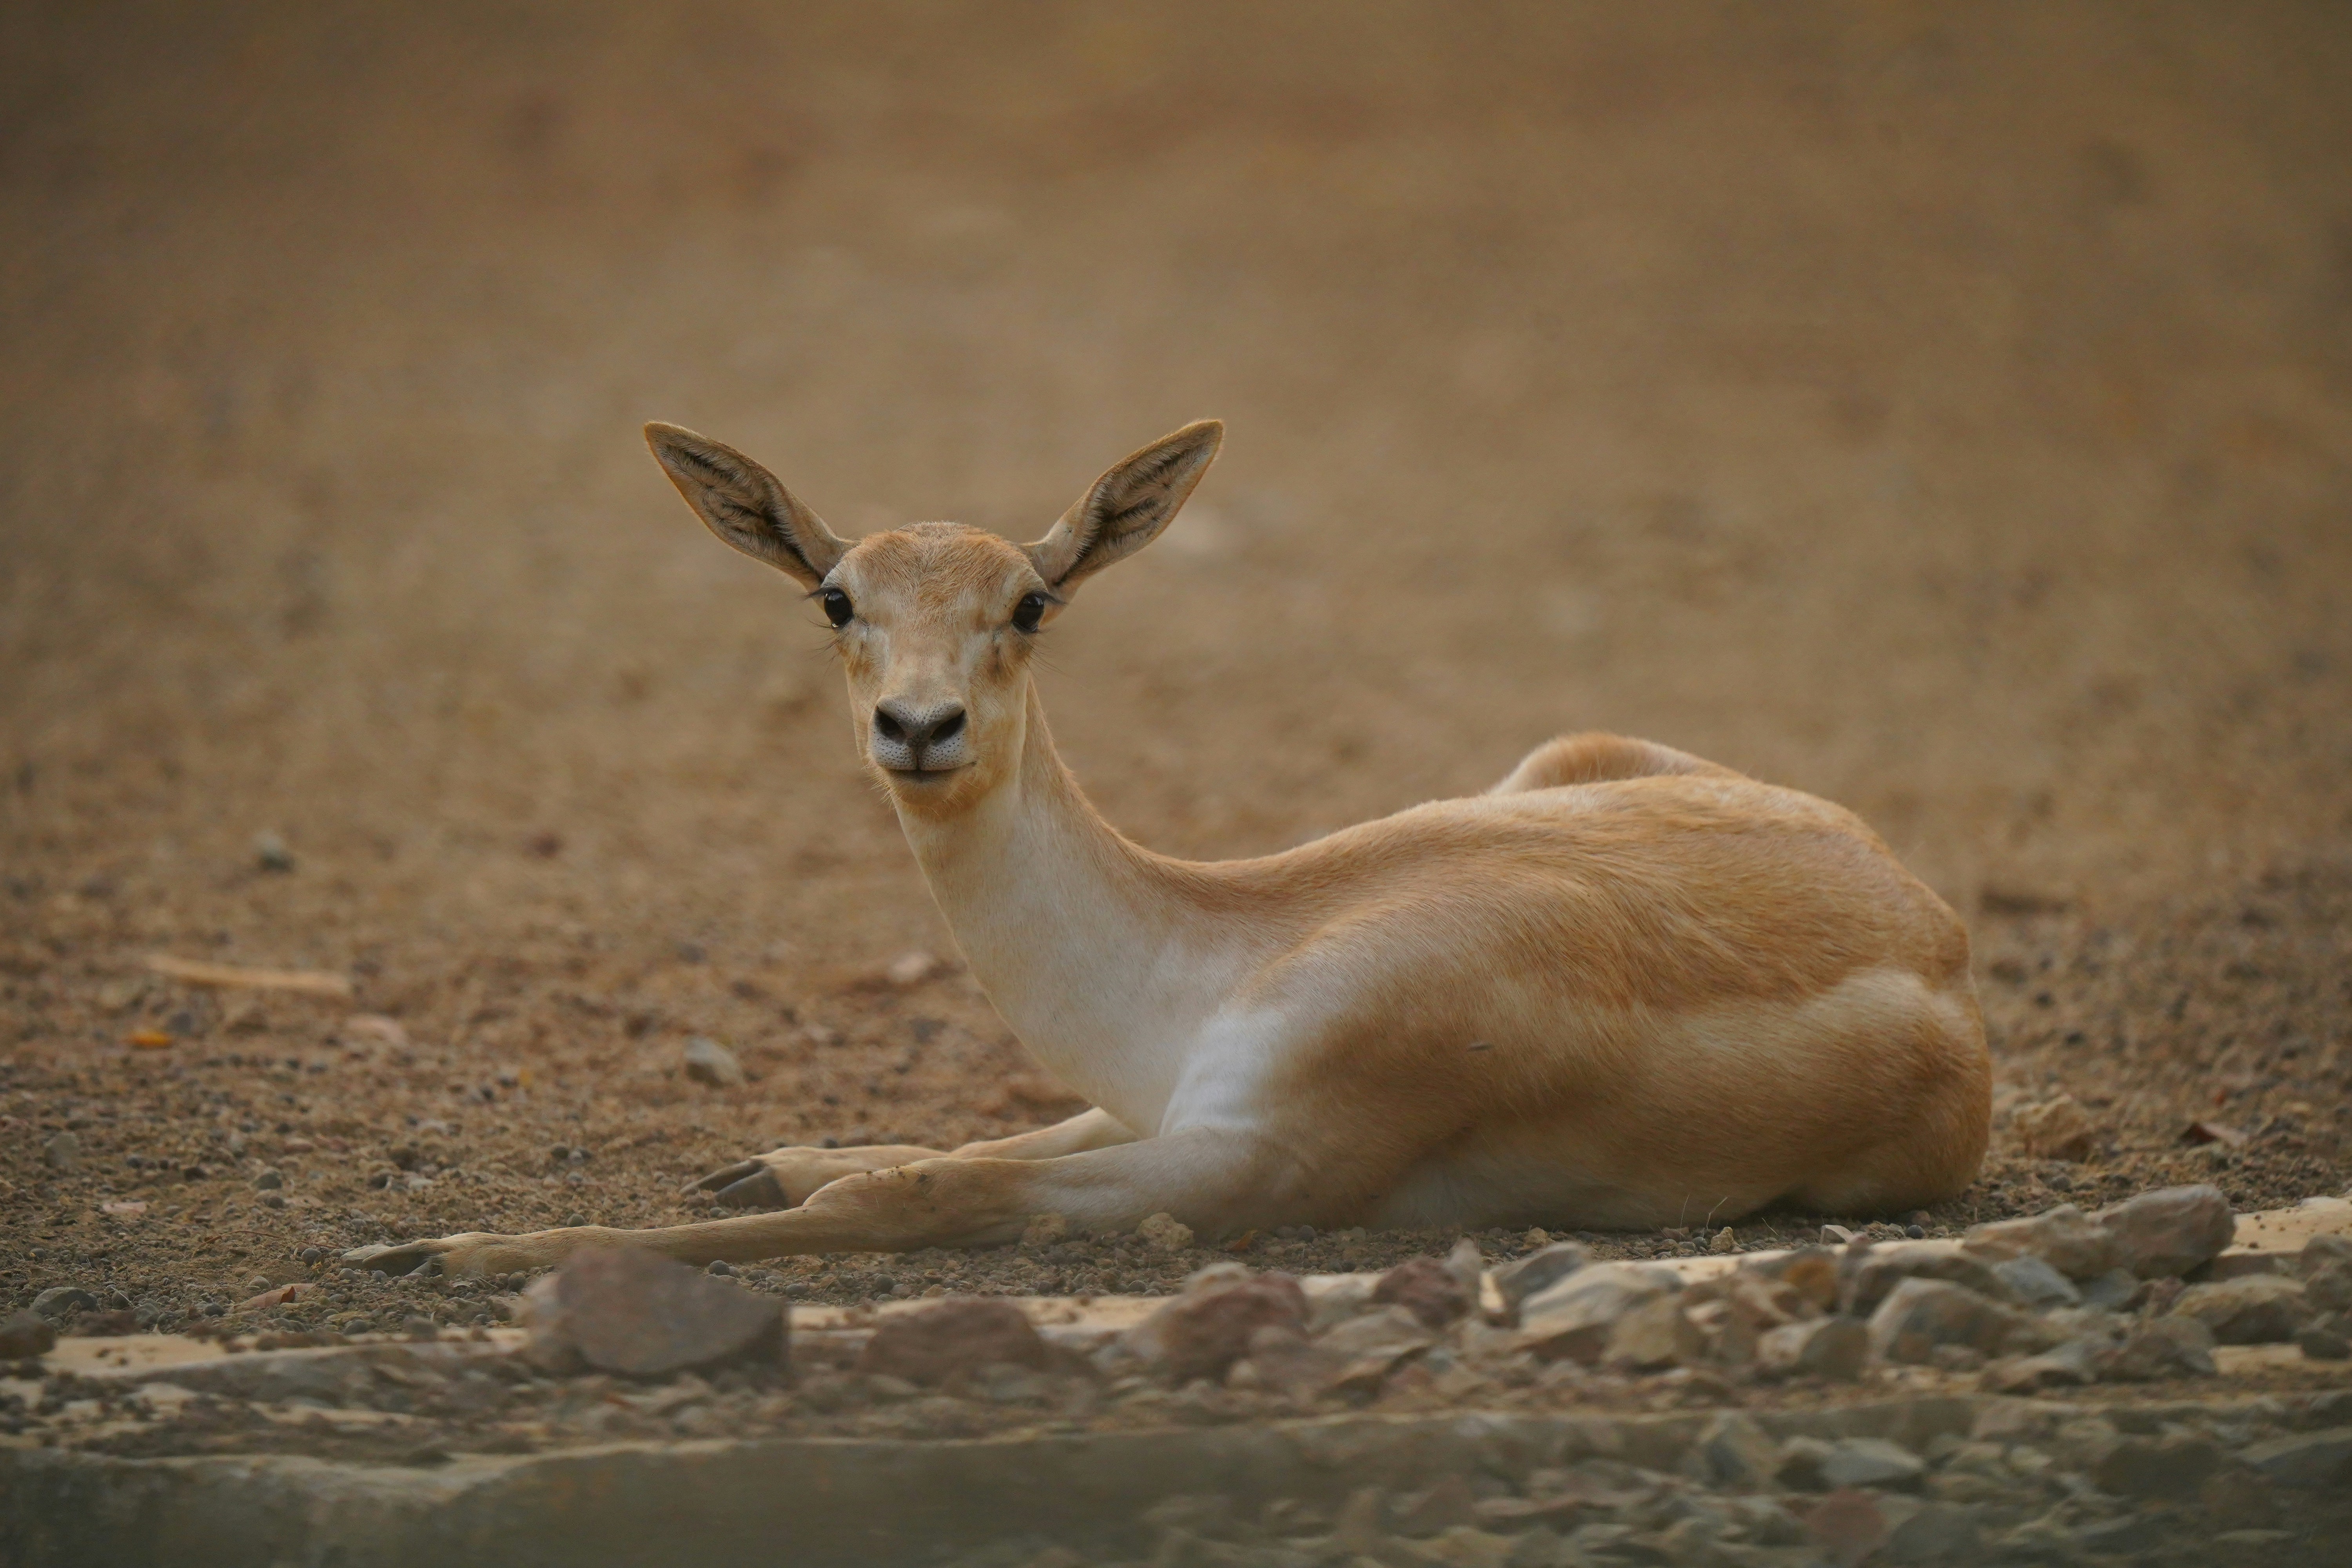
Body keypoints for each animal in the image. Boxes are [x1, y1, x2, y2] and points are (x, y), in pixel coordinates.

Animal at [347, 420, 1989, 1278]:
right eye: (834, 595)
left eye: (1030, 601)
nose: (920, 725)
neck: (1229, 945)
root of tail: (1936, 928)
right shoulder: (1179, 1107)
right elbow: (965, 1150)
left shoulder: (1248, 1164)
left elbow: (918, 1194)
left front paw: (454, 1256)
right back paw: (763, 1155)